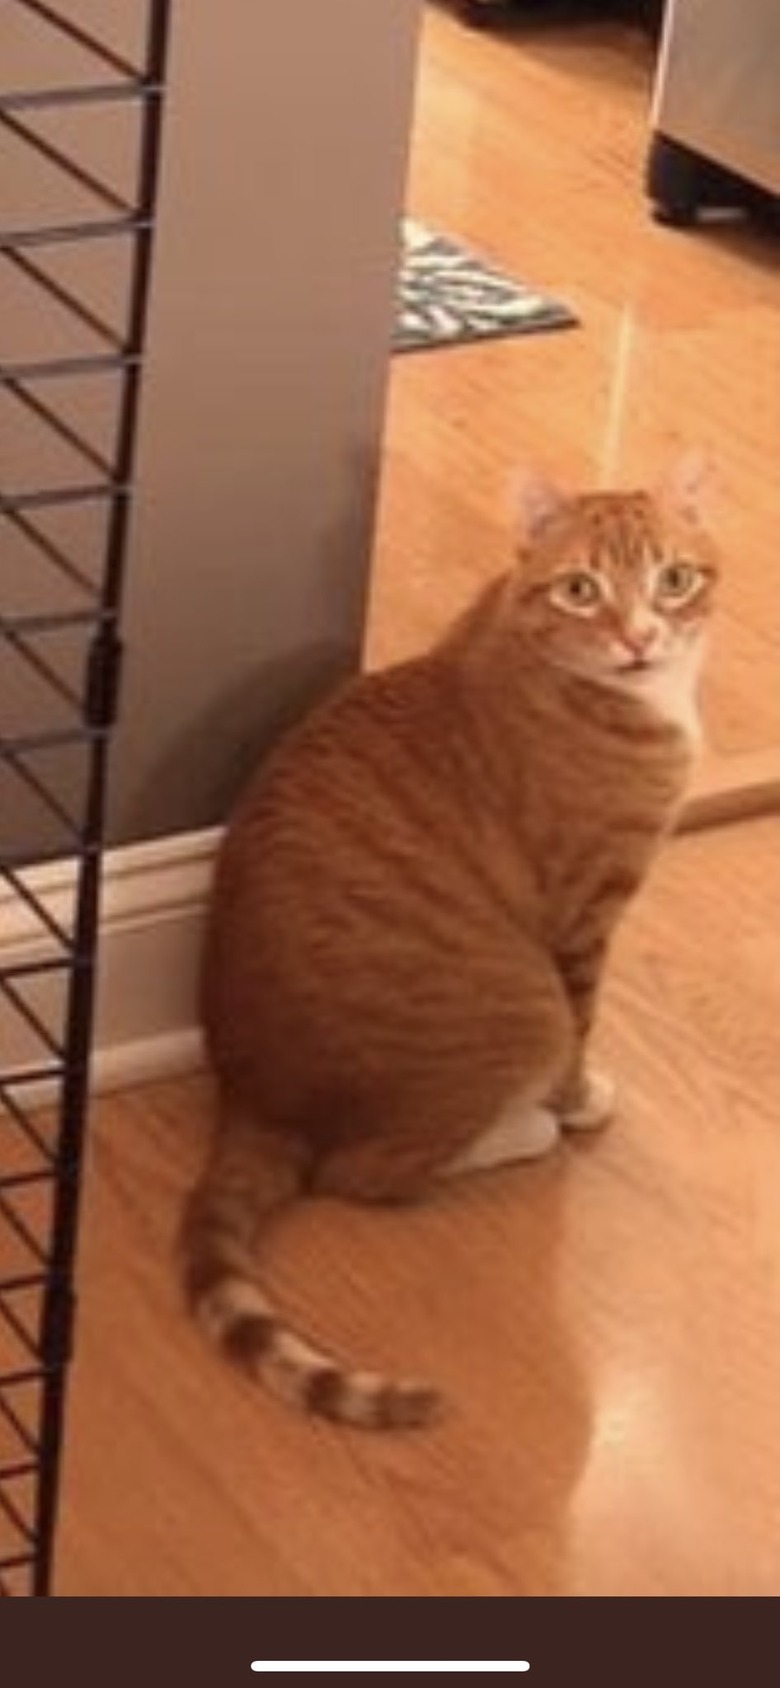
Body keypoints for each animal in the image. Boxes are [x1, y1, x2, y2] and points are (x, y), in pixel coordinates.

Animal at [179, 459, 715, 1424]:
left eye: (675, 579)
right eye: (582, 590)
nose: (640, 637)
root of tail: (252, 1095)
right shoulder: (584, 918)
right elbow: (585, 1029)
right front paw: (579, 1100)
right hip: (522, 1007)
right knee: (361, 1174)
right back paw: (525, 1128)